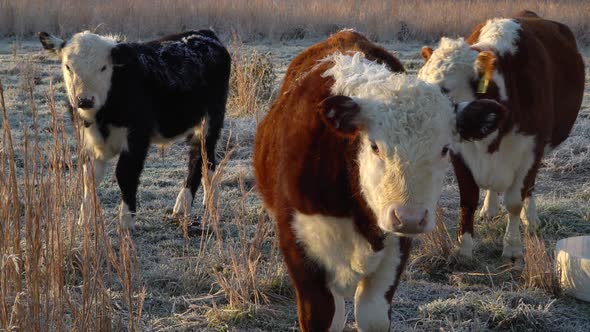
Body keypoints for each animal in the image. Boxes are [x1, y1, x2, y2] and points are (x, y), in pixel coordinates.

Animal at [40, 30, 231, 228]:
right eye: (68, 66)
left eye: (103, 67)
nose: (85, 100)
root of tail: (204, 34)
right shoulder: (87, 141)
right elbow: (89, 178)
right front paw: (84, 220)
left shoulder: (137, 138)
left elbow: (125, 174)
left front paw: (126, 221)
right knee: (206, 159)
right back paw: (204, 201)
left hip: (211, 120)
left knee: (200, 157)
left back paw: (190, 203)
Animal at [253, 29, 504, 330]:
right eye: (374, 146)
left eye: (445, 148)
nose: (410, 218)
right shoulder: (301, 253)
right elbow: (324, 316)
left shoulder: (396, 251)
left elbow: (372, 315)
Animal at [420, 11, 588, 260]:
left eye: (445, 89)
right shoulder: (460, 152)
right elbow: (468, 200)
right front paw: (464, 249)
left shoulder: (531, 150)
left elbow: (515, 202)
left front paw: (512, 247)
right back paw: (489, 209)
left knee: (530, 188)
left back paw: (531, 218)